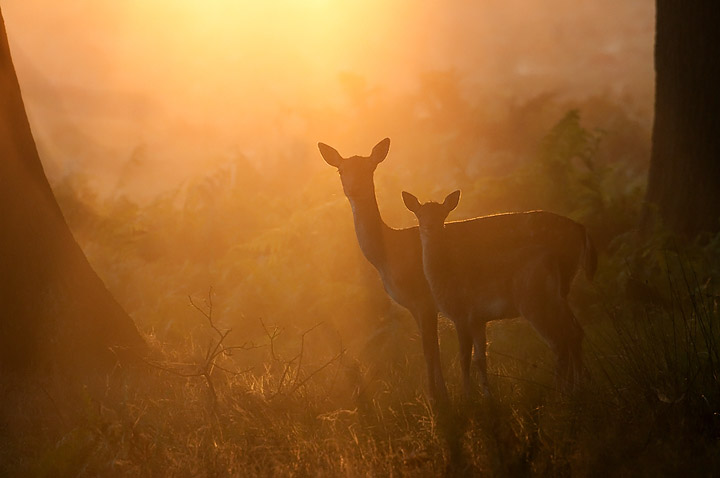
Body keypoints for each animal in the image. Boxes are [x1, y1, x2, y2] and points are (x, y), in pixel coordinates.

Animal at [318, 138, 449, 403]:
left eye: (370, 168)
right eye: (341, 170)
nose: (355, 187)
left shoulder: (424, 299)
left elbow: (430, 349)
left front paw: (439, 401)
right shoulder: (416, 306)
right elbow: (430, 348)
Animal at [402, 189, 596, 396]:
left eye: (442, 214)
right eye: (420, 214)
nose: (429, 226)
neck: (445, 274)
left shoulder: (461, 314)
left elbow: (463, 358)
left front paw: (468, 396)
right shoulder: (478, 319)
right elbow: (480, 358)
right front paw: (488, 397)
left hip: (534, 302)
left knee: (559, 342)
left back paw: (560, 392)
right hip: (555, 298)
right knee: (573, 333)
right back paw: (575, 387)